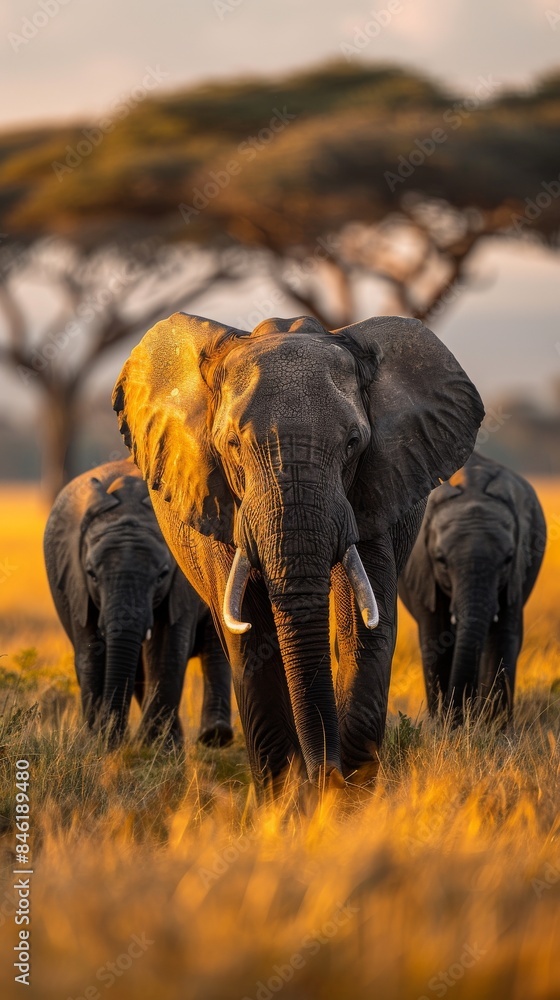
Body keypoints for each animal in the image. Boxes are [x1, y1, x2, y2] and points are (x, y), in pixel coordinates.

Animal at [43, 458, 233, 747]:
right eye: (91, 574)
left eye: (162, 575)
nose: (114, 735)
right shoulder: (74, 583)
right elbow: (89, 651)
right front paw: (100, 743)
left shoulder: (181, 584)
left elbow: (167, 649)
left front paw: (158, 748)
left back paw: (215, 737)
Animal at [112, 312, 484, 794]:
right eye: (232, 444)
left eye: (353, 443)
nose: (326, 774)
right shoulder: (220, 502)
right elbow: (249, 636)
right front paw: (286, 796)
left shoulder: (372, 490)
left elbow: (363, 623)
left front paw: (349, 794)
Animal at [399, 451, 546, 721]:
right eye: (441, 560)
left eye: (508, 559)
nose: (462, 712)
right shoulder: (424, 573)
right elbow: (437, 638)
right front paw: (448, 723)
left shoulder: (516, 576)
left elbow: (503, 637)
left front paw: (492, 725)